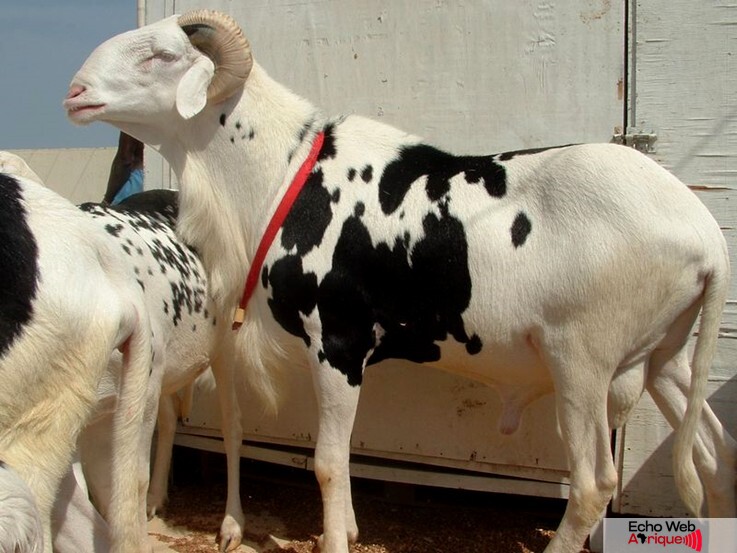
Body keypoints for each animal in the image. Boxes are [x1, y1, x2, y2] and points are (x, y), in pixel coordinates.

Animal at [66, 9, 732, 552]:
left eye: (162, 55)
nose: (74, 93)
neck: (286, 173)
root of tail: (707, 235)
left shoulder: (339, 342)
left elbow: (328, 463)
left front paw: (336, 540)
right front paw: (347, 529)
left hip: (583, 359)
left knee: (594, 484)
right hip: (664, 357)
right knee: (714, 456)